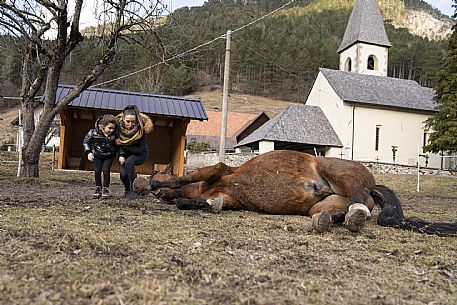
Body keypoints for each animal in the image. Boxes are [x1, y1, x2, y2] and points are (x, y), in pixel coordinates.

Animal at [134, 150, 456, 235]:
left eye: (159, 172)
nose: (152, 184)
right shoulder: (227, 199)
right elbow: (208, 204)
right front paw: (186, 201)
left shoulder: (216, 170)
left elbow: (184, 179)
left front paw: (151, 186)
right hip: (321, 204)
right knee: (342, 209)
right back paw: (327, 221)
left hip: (333, 169)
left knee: (359, 198)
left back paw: (354, 215)